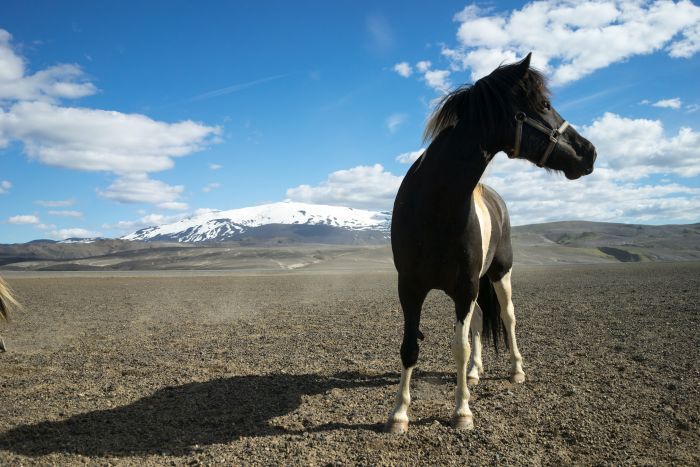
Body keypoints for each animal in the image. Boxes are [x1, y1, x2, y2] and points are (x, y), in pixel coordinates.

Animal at [388, 53, 596, 434]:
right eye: (544, 105)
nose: (589, 151)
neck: (435, 205)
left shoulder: (465, 286)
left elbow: (459, 347)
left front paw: (462, 411)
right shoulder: (409, 287)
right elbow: (410, 346)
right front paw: (399, 414)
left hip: (499, 274)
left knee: (508, 318)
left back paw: (515, 371)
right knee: (479, 325)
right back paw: (474, 374)